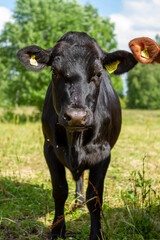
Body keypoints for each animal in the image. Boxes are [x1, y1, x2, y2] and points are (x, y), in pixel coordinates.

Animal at [17, 31, 138, 240]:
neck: (75, 141)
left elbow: (95, 197)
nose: (76, 116)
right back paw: (77, 202)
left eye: (98, 73)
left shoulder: (103, 153)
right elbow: (59, 190)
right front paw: (57, 230)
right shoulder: (50, 148)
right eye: (54, 72)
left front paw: (96, 234)